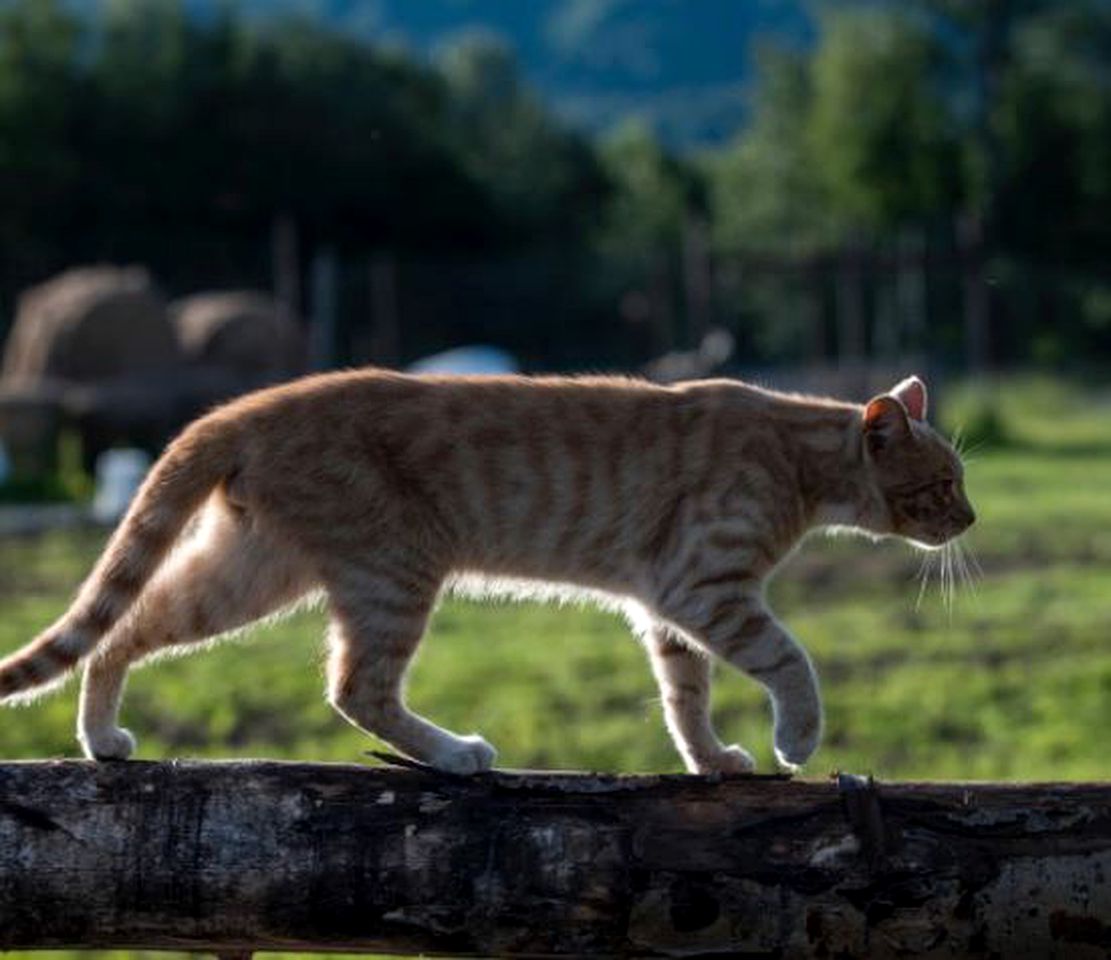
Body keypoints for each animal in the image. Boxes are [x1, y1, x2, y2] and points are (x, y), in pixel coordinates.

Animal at [0, 366, 973, 773]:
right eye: (942, 483)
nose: (970, 518)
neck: (795, 456)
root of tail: (240, 408)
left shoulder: (667, 604)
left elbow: (683, 696)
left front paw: (712, 763)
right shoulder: (705, 588)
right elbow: (789, 660)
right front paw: (794, 742)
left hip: (251, 571)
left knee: (120, 631)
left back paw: (101, 739)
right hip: (392, 573)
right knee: (355, 688)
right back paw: (453, 753)